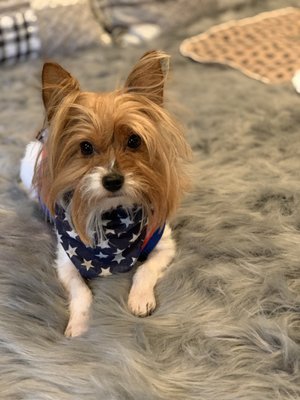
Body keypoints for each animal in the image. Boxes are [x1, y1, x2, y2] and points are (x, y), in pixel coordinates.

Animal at [19, 50, 191, 338]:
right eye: (85, 147)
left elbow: (145, 269)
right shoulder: (66, 261)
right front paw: (79, 325)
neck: (114, 216)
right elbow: (81, 293)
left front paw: (140, 299)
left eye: (134, 141)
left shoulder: (164, 244)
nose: (112, 180)